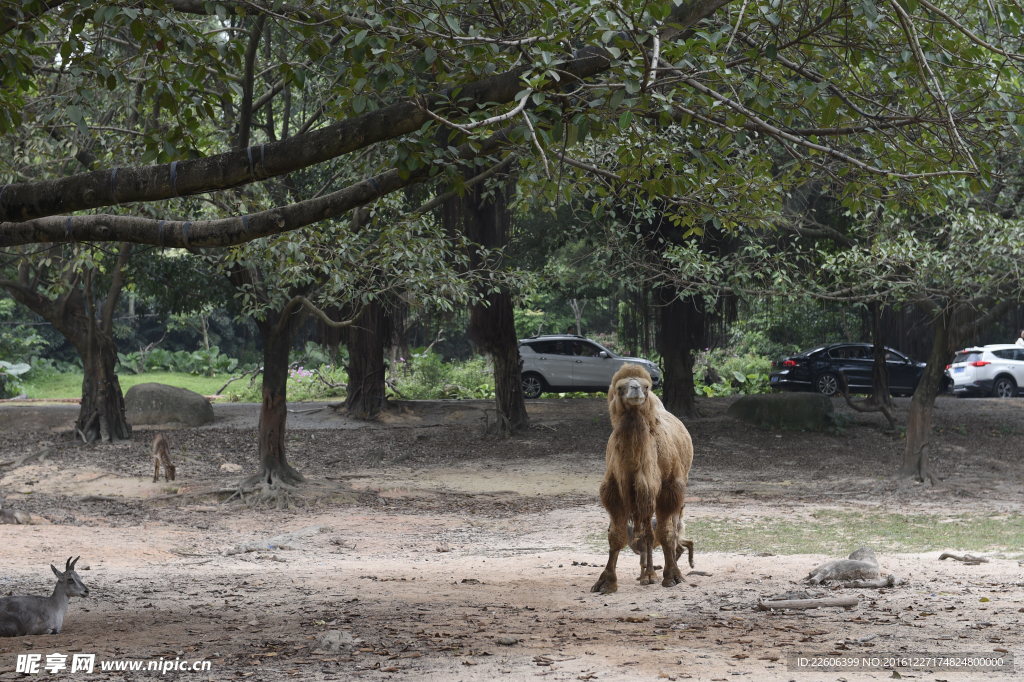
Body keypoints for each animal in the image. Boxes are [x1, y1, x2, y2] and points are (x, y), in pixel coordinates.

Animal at [593, 360, 696, 589]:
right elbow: (616, 535)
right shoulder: (615, 490)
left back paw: (659, 573)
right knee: (648, 530)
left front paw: (672, 576)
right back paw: (648, 575)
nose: (635, 389)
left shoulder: (669, 488)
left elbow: (666, 533)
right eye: (620, 387)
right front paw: (606, 581)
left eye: (646, 386)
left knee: (670, 528)